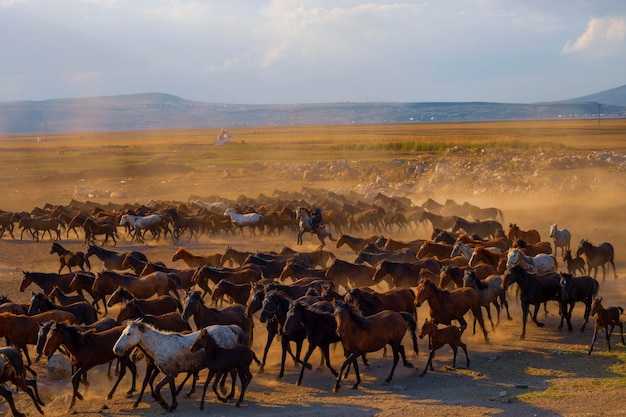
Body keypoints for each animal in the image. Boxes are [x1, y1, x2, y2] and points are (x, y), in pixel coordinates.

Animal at [113, 318, 245, 410]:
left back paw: (228, 393)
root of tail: (229, 328)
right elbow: (171, 389)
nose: (115, 349)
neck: (160, 346)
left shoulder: (171, 374)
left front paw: (165, 405)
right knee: (233, 374)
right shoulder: (170, 373)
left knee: (233, 374)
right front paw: (173, 405)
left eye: (128, 334)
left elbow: (157, 387)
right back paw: (229, 394)